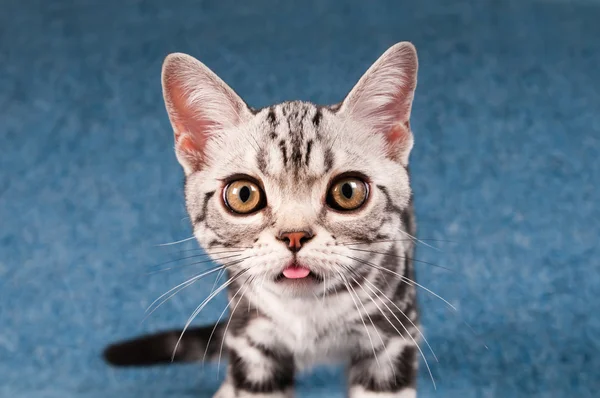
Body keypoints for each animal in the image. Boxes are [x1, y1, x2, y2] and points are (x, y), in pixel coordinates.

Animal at [104, 42, 422, 396]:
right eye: (244, 194)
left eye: (347, 191)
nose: (294, 235)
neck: (306, 314)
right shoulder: (253, 341)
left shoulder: (389, 343)